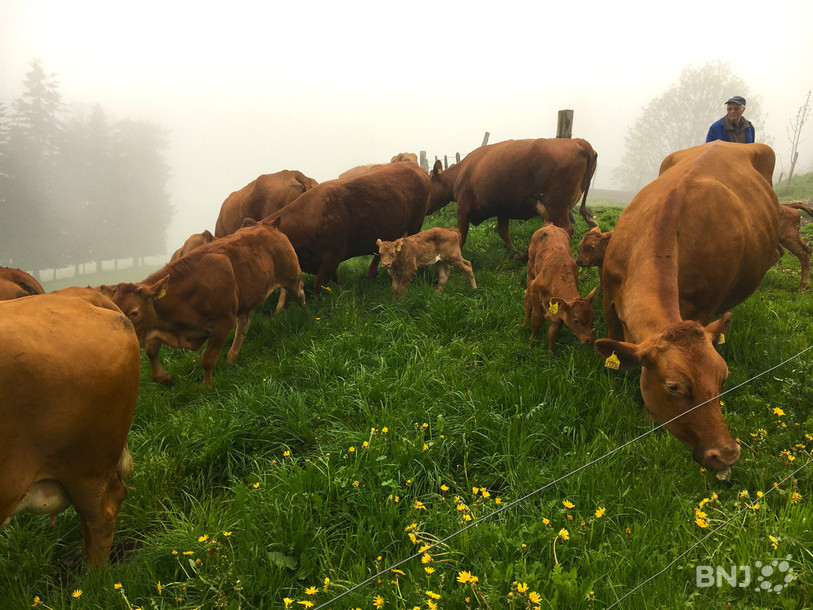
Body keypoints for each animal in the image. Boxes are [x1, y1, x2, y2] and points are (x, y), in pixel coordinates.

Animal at [100, 218, 306, 386]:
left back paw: (306, 316)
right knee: (244, 324)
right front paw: (166, 378)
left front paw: (206, 387)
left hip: (292, 276)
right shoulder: (157, 324)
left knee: (301, 293)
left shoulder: (223, 323)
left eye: (134, 313)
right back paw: (232, 356)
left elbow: (208, 358)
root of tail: (267, 224)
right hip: (248, 296)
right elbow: (151, 350)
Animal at [265, 161, 430, 294]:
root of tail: (413, 165)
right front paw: (343, 289)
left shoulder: (332, 257)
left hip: (415, 223)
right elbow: (333, 280)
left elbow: (318, 286)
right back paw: (371, 274)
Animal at [425, 138, 598, 256]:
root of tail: (579, 142)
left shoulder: (463, 207)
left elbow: (462, 234)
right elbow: (503, 232)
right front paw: (514, 253)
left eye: (428, 183)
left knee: (566, 229)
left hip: (556, 206)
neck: (460, 173)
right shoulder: (502, 209)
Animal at [524, 222, 597, 351]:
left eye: (593, 318)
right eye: (576, 320)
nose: (590, 340)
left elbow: (553, 332)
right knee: (527, 299)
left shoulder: (560, 308)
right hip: (530, 270)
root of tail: (550, 225)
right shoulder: (535, 290)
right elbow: (537, 320)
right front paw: (531, 343)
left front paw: (551, 351)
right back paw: (523, 326)